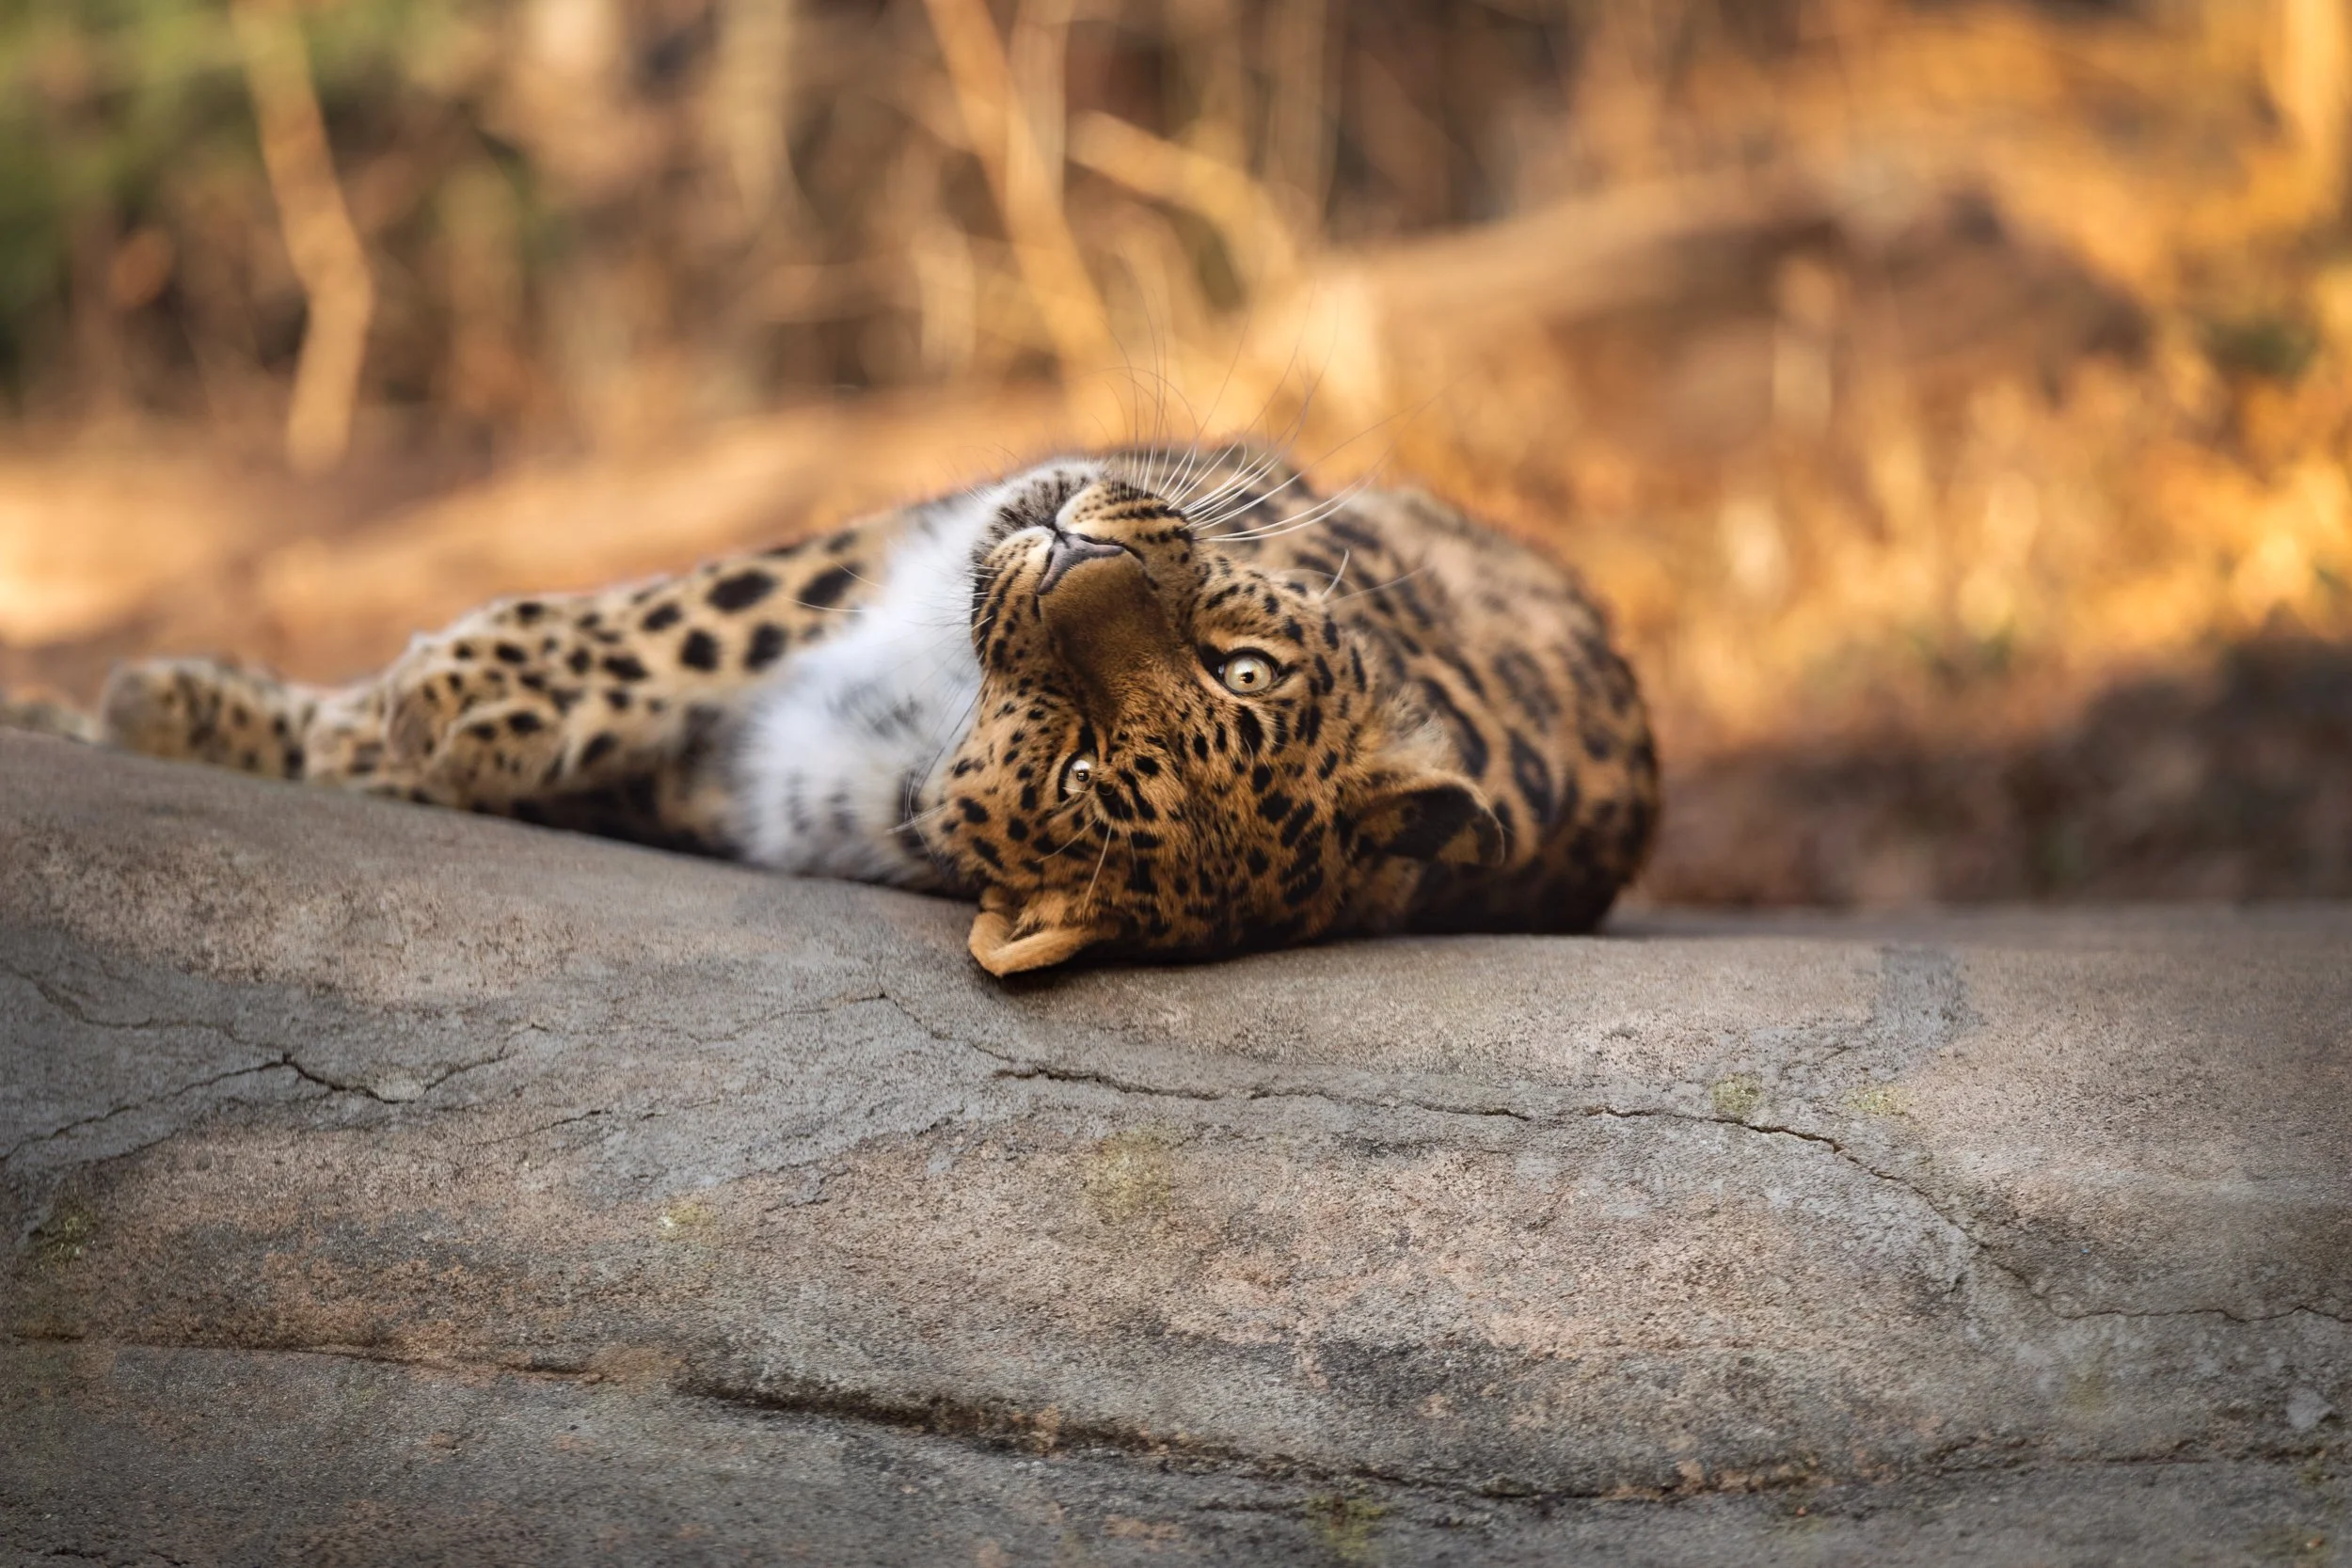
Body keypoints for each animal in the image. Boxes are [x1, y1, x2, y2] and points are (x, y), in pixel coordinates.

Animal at [92, 446, 1658, 975]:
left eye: (1089, 772)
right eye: (1245, 666)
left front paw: (405, 716)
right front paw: (207, 711)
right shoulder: (900, 539)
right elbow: (694, 615)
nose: (1069, 545)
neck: (927, 716)